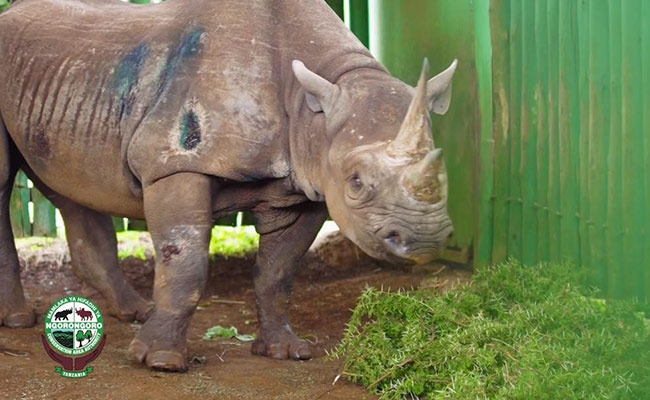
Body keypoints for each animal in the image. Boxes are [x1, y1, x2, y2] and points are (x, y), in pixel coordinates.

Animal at [0, 0, 456, 371]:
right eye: (357, 183)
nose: (426, 240)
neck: (313, 106)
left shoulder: (304, 189)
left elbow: (278, 272)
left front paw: (284, 351)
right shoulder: (175, 164)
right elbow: (185, 262)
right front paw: (160, 361)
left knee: (70, 186)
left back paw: (134, 312)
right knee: (6, 181)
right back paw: (19, 320)